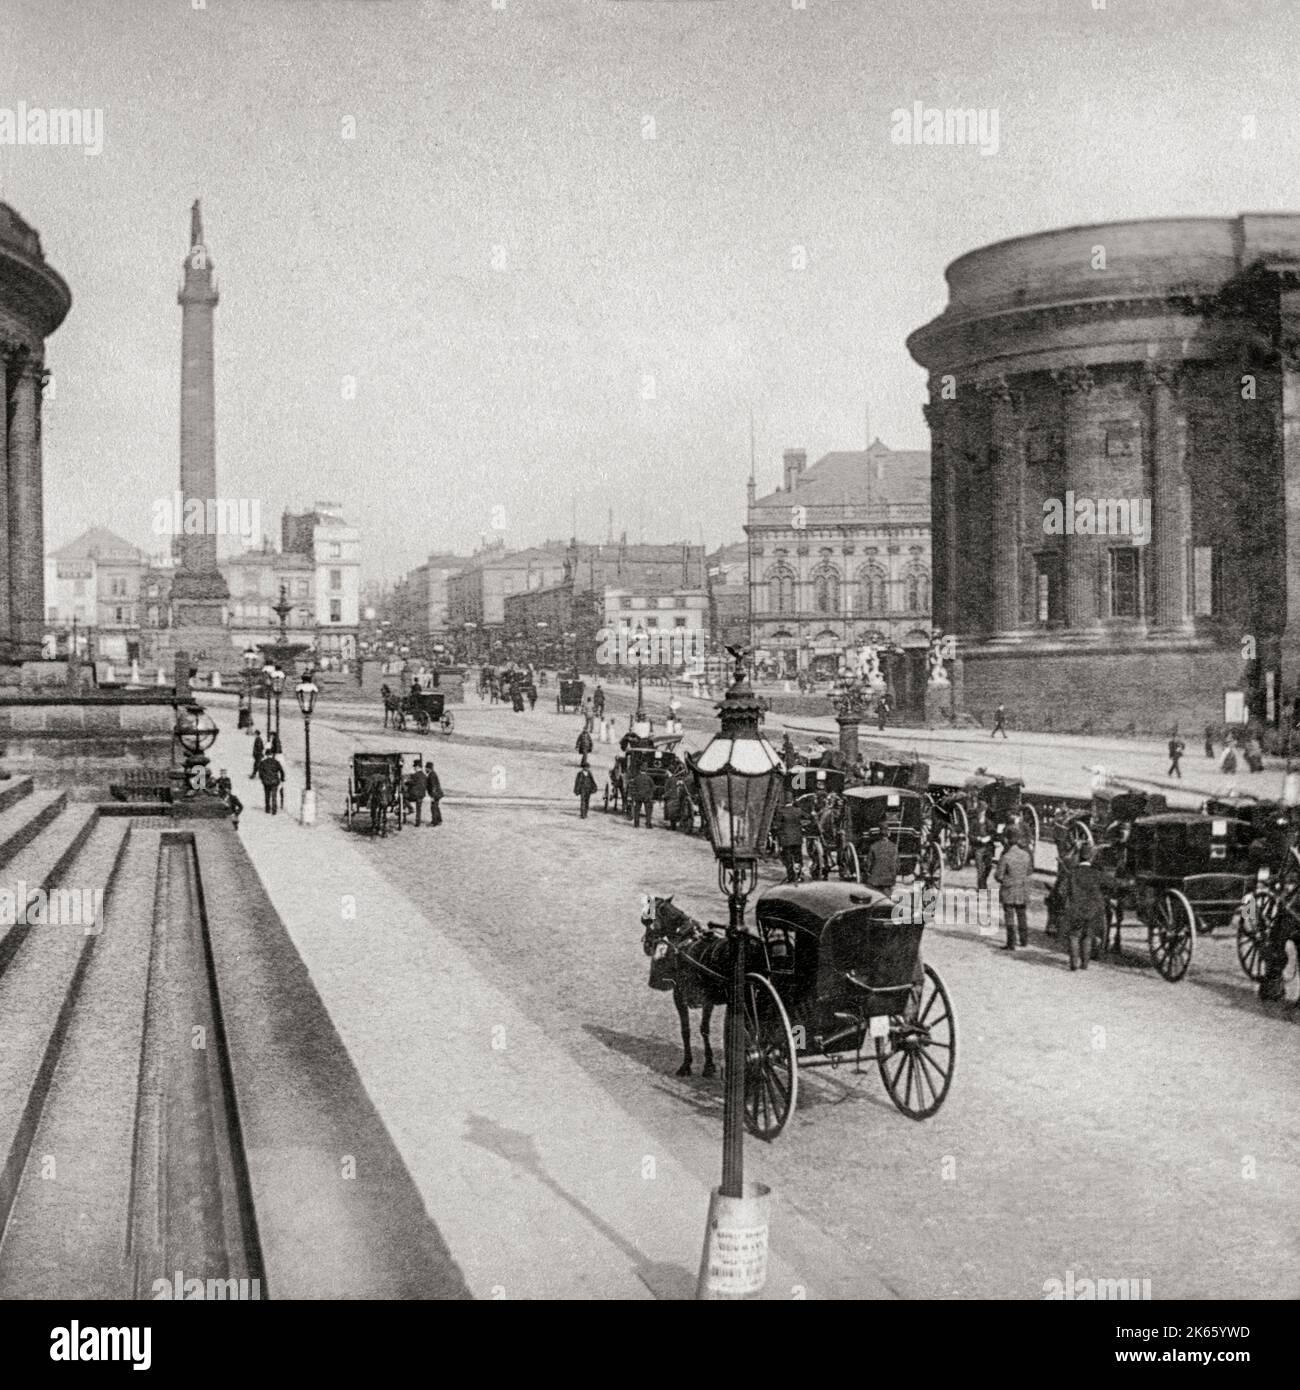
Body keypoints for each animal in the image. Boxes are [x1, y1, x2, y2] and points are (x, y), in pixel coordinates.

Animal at [636, 895, 734, 1078]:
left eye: (647, 919)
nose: (647, 946)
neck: (686, 941)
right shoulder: (706, 1000)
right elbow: (702, 1029)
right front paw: (707, 1064)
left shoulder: (681, 996)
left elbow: (688, 1030)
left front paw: (689, 1064)